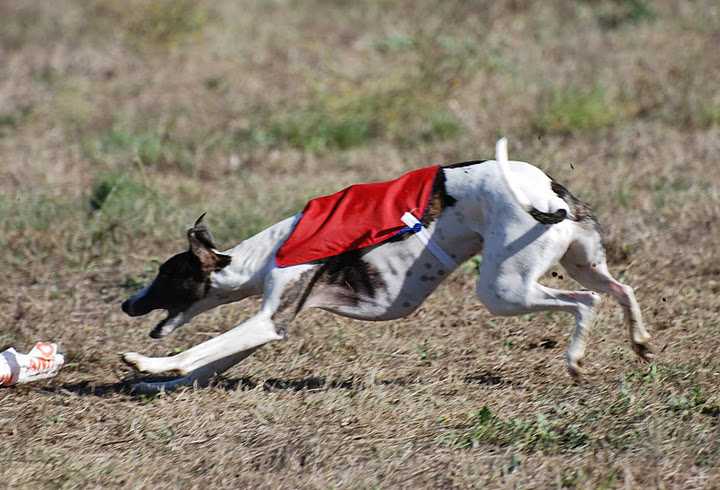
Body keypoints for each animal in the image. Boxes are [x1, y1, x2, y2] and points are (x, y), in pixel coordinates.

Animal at [121, 140, 648, 392]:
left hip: (504, 289)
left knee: (586, 301)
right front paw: (154, 385)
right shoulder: (268, 325)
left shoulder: (271, 319)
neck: (263, 252)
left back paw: (575, 360)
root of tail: (548, 189)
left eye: (166, 274)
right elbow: (208, 362)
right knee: (620, 289)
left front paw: (145, 363)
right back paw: (641, 342)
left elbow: (197, 350)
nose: (128, 304)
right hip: (582, 261)